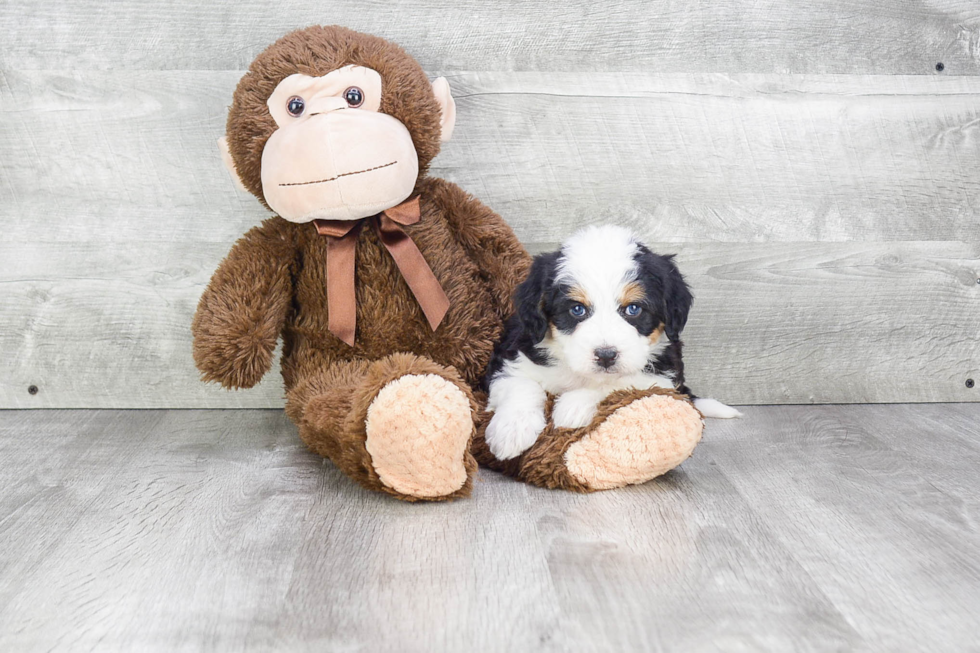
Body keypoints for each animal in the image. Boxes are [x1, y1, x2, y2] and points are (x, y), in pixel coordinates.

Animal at [486, 224, 740, 458]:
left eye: (633, 308)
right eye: (577, 309)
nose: (606, 356)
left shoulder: (661, 375)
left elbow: (619, 383)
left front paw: (572, 406)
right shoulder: (514, 356)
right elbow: (521, 384)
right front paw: (511, 431)